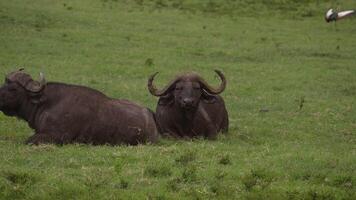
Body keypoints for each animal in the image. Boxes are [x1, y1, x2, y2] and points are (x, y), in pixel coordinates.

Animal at [0, 69, 159, 145]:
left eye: (13, 88)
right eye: (4, 83)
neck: (46, 104)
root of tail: (150, 115)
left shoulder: (55, 137)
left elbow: (28, 140)